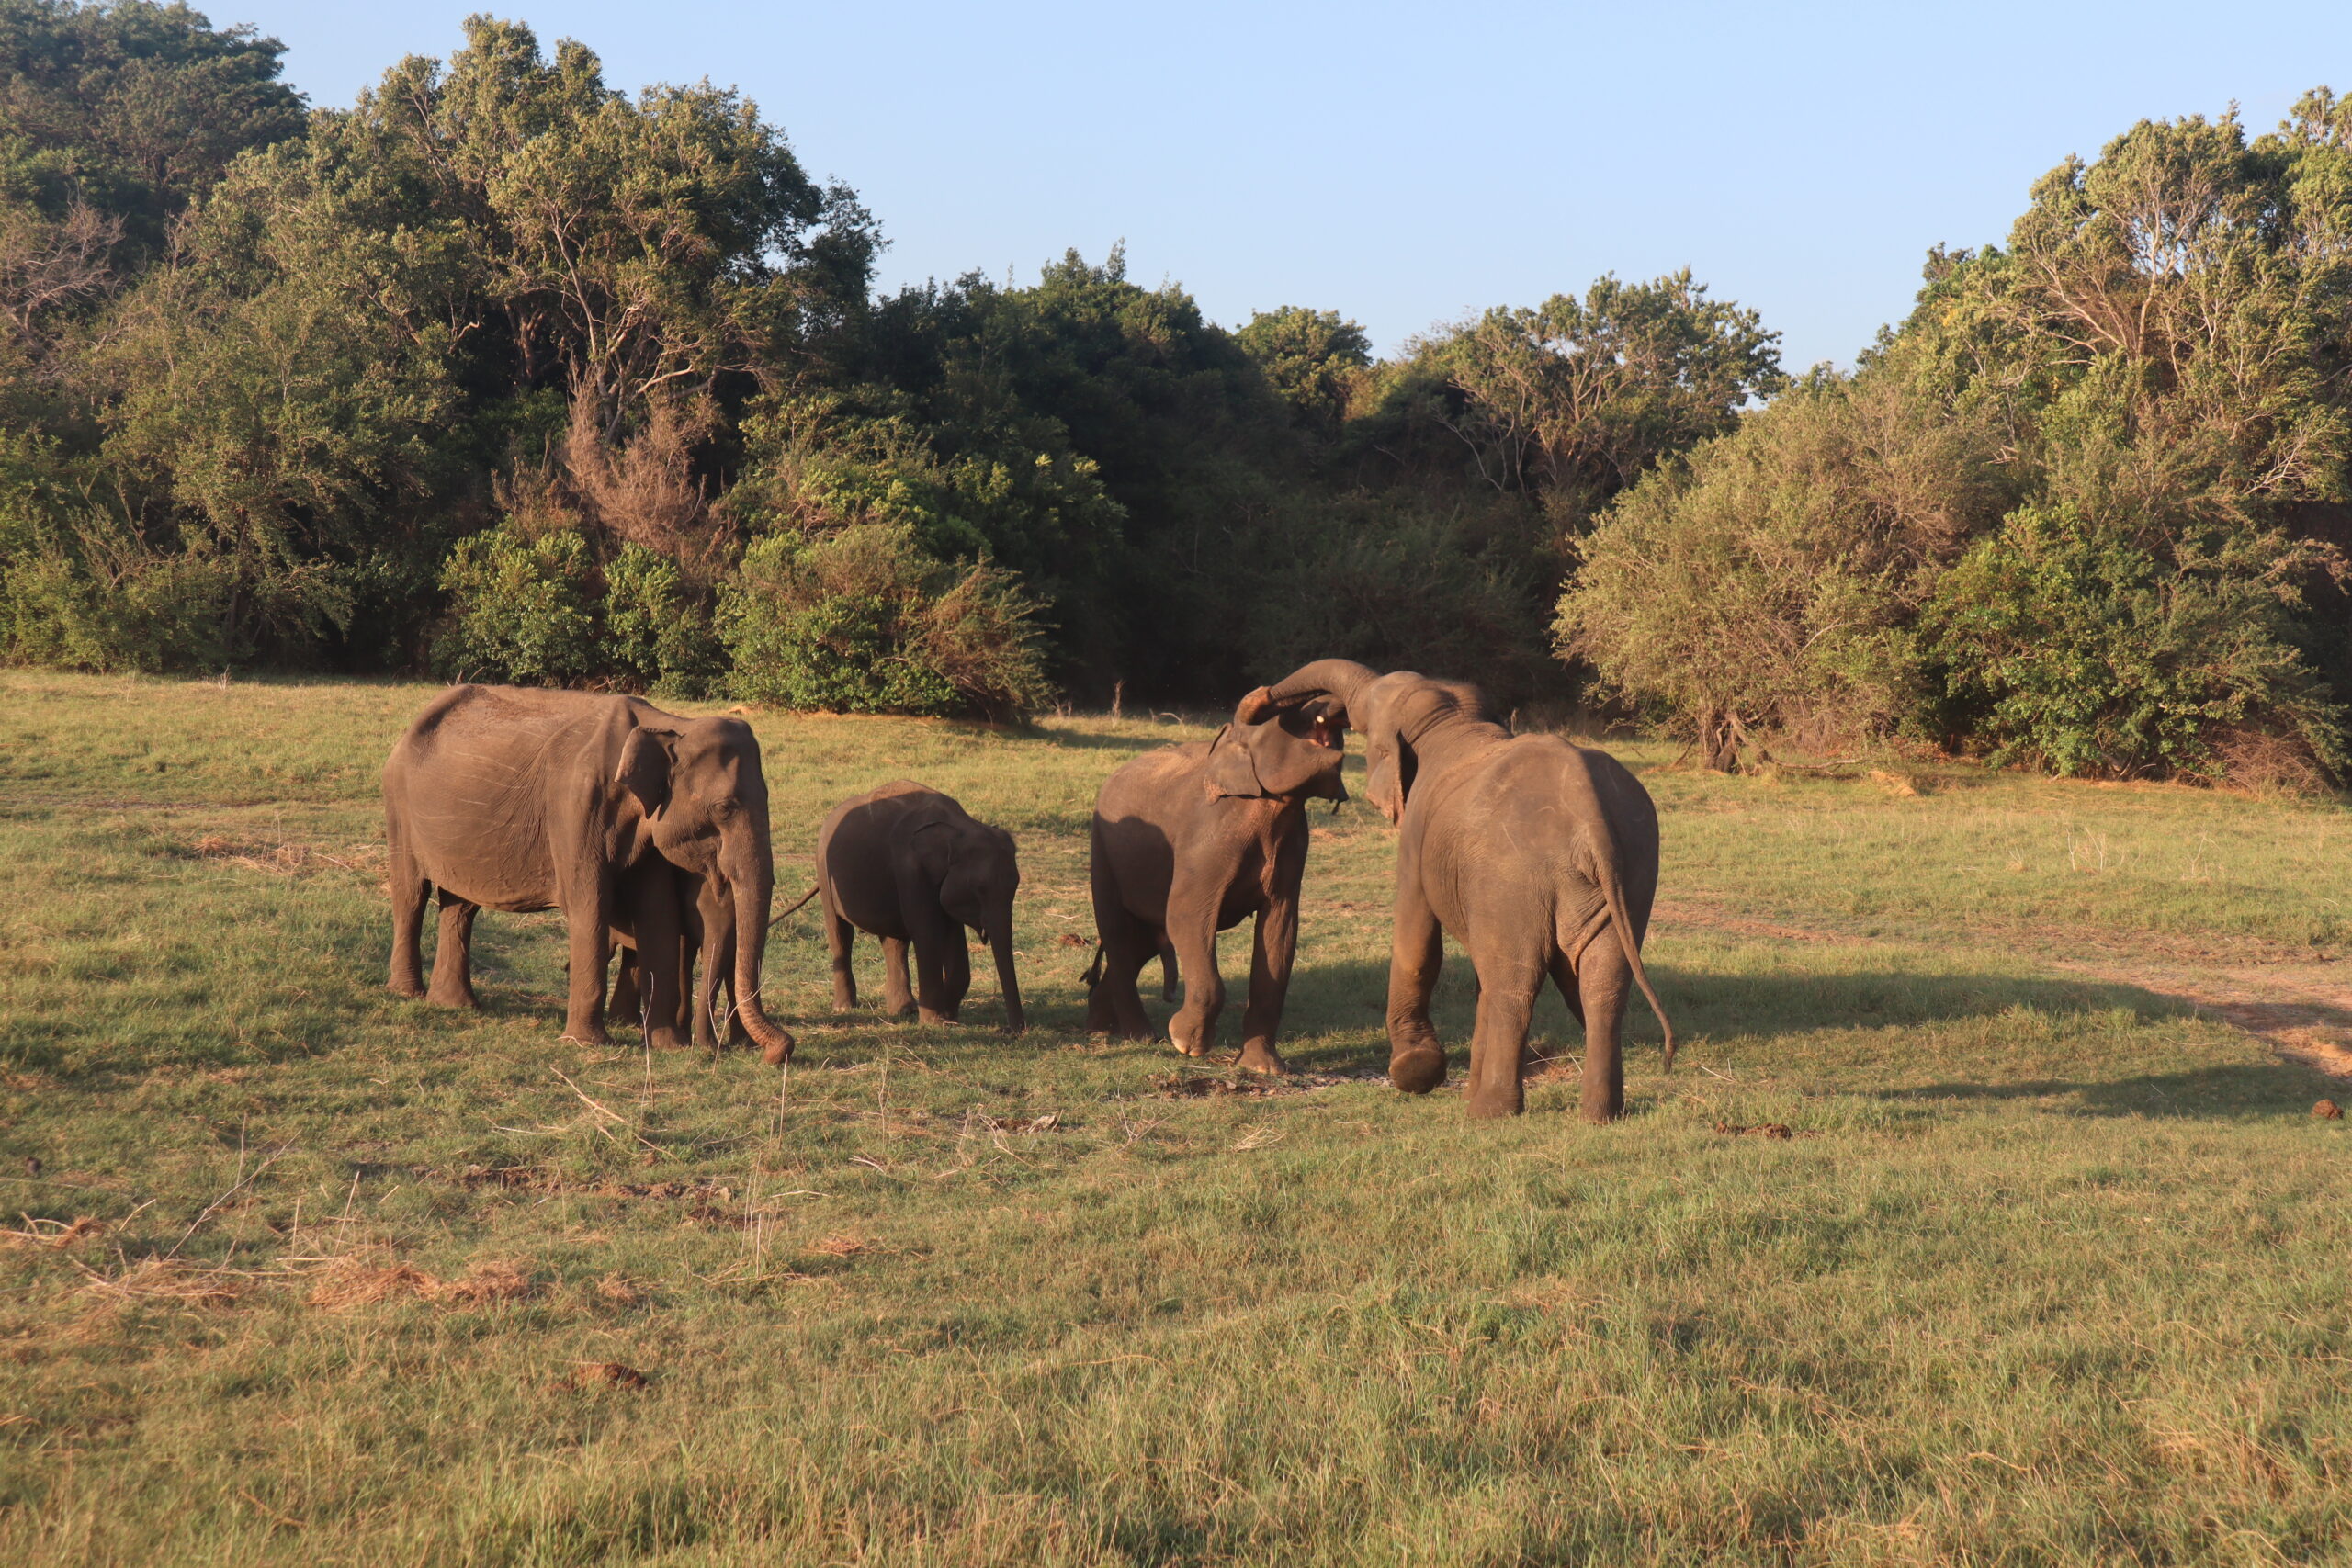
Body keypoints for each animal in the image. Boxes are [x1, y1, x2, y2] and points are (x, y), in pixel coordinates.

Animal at [380, 686, 795, 1066]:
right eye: (725, 807)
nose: (781, 1051)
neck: (669, 724)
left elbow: (658, 915)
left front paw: (669, 1046)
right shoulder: (575, 808)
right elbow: (589, 905)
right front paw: (587, 1044)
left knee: (461, 905)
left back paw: (457, 1005)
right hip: (399, 805)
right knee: (412, 894)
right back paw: (407, 993)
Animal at [818, 780, 1021, 1029]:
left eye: (1016, 885)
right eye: (979, 889)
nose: (1011, 1031)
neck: (959, 827)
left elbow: (952, 935)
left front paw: (948, 1017)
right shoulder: (911, 871)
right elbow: (927, 931)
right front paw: (935, 1022)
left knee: (895, 942)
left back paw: (904, 1011)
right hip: (824, 871)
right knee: (840, 934)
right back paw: (844, 1007)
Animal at [1081, 691, 1345, 1072]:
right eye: (1290, 715)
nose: (1335, 705)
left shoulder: (1293, 849)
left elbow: (1280, 933)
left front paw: (1263, 1067)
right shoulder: (1205, 839)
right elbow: (1185, 915)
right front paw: (1187, 1044)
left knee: (1138, 945)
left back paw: (1100, 1028)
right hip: (1102, 849)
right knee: (1118, 933)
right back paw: (1140, 1036)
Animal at [1250, 658, 1674, 1123]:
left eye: (1365, 717)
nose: (1260, 698)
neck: (1453, 721)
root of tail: (1588, 814)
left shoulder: (1417, 836)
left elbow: (1416, 940)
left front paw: (1415, 1072)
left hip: (1514, 876)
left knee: (1514, 984)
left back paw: (1489, 1113)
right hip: (1630, 870)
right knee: (1602, 981)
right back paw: (1600, 1115)